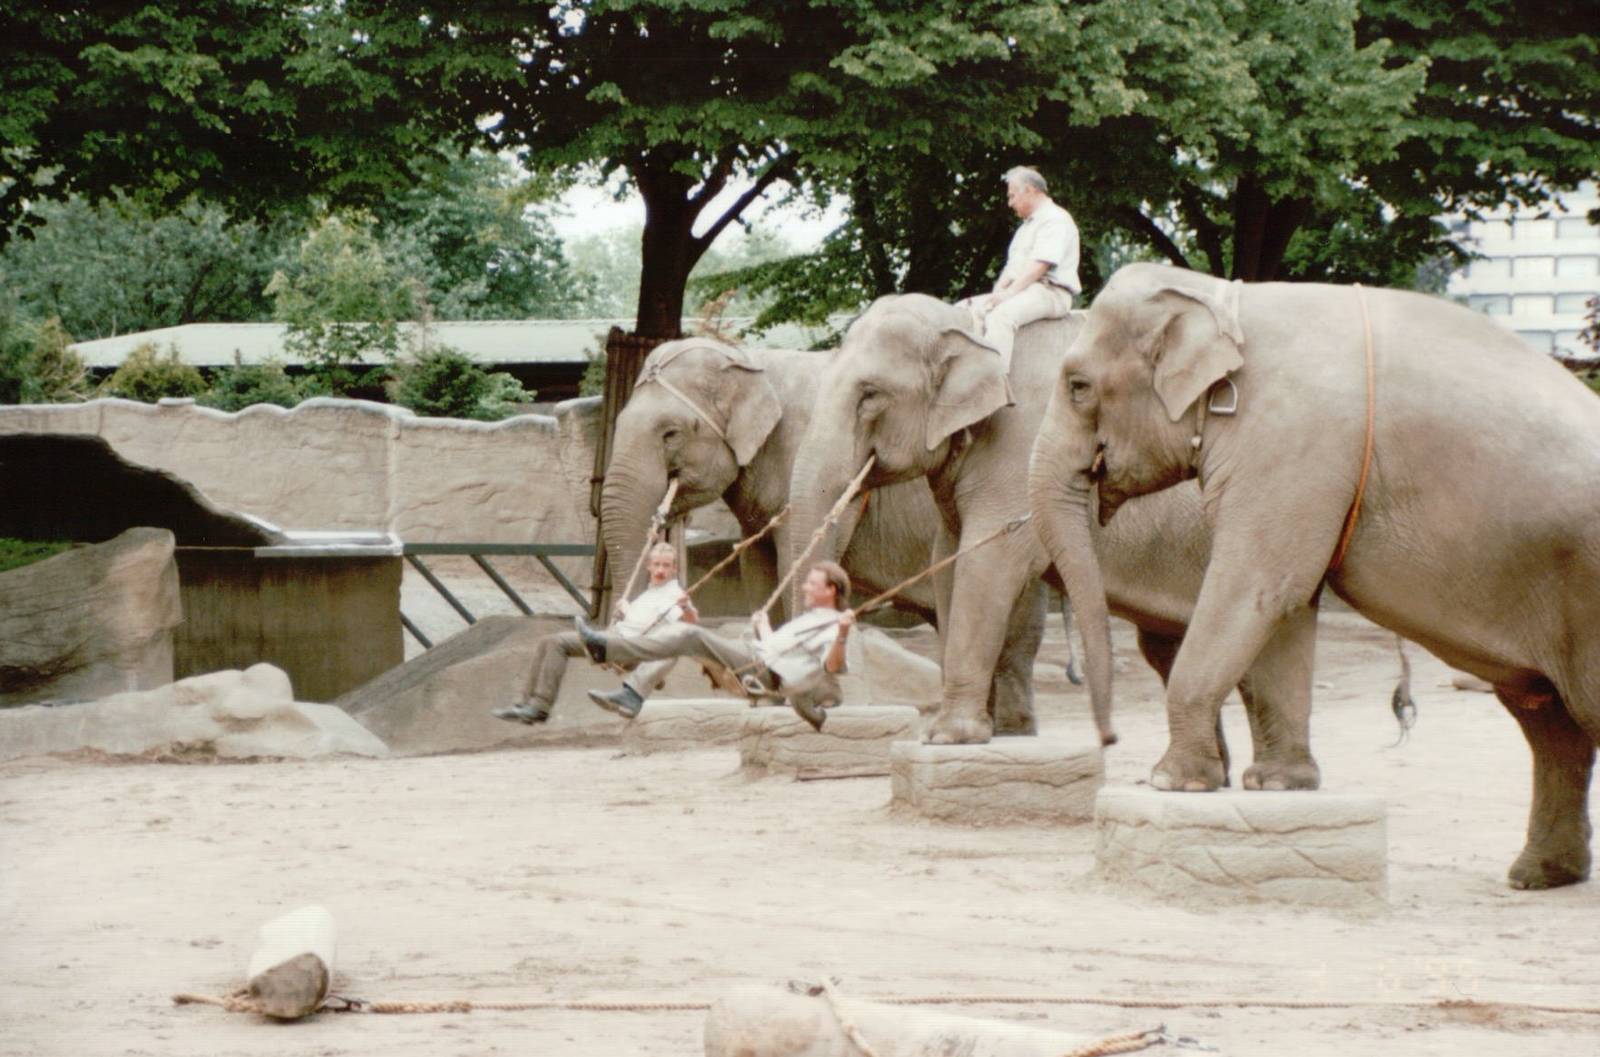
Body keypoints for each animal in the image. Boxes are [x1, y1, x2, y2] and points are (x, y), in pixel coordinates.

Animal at [786, 292, 1317, 785]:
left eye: (870, 395)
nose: (826, 707)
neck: (966, 327)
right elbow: (950, 561)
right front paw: (978, 733)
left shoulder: (1016, 452)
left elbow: (989, 564)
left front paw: (949, 736)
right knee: (1170, 646)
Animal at [1027, 261, 1600, 890]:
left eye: (1077, 385)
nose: (1108, 737)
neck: (1226, 299)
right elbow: (1286, 602)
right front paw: (1278, 786)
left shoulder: (1291, 443)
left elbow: (1255, 584)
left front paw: (1170, 783)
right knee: (1549, 723)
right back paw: (1537, 876)